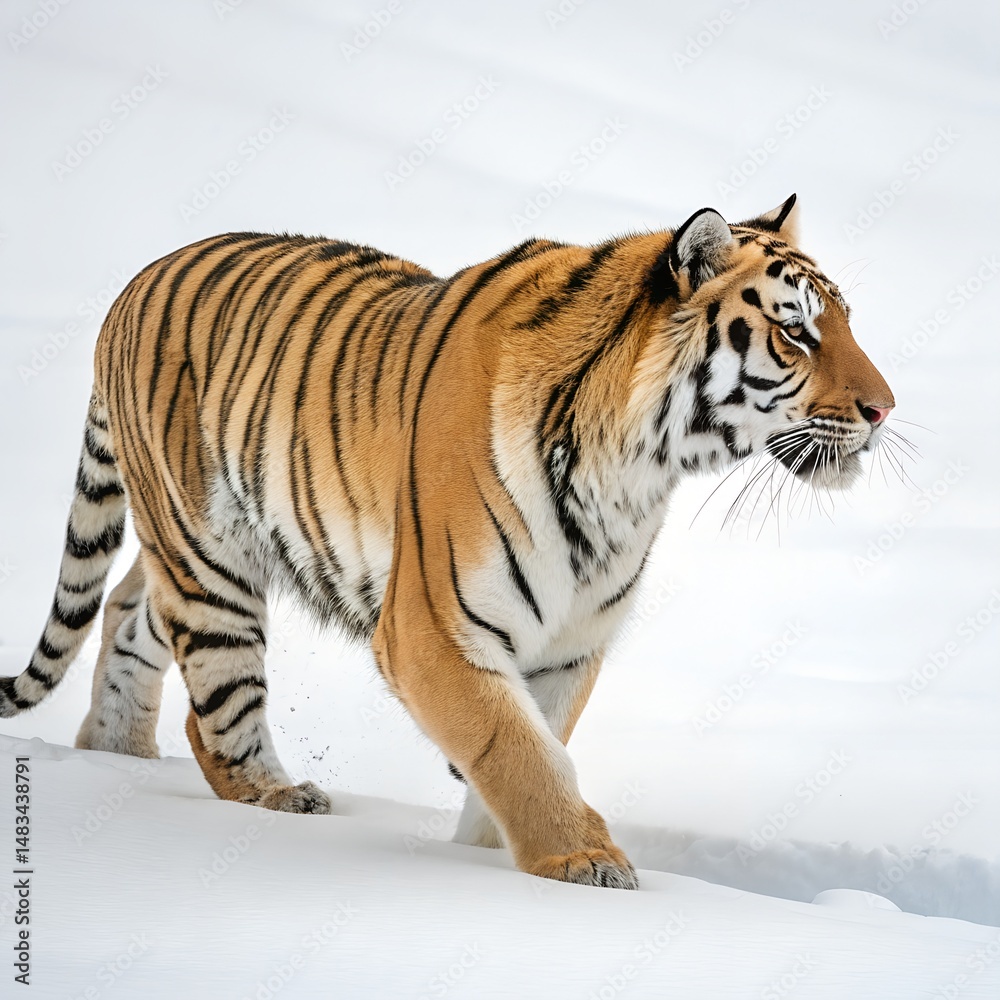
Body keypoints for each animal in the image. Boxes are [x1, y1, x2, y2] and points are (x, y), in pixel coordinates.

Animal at [0, 194, 893, 889]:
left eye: (847, 322)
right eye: (797, 334)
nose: (886, 409)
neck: (636, 471)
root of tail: (136, 280)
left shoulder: (572, 641)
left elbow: (538, 746)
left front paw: (492, 857)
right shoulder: (432, 627)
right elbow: (517, 748)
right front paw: (583, 865)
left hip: (202, 556)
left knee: (126, 611)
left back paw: (118, 756)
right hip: (207, 555)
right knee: (216, 703)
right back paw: (276, 796)